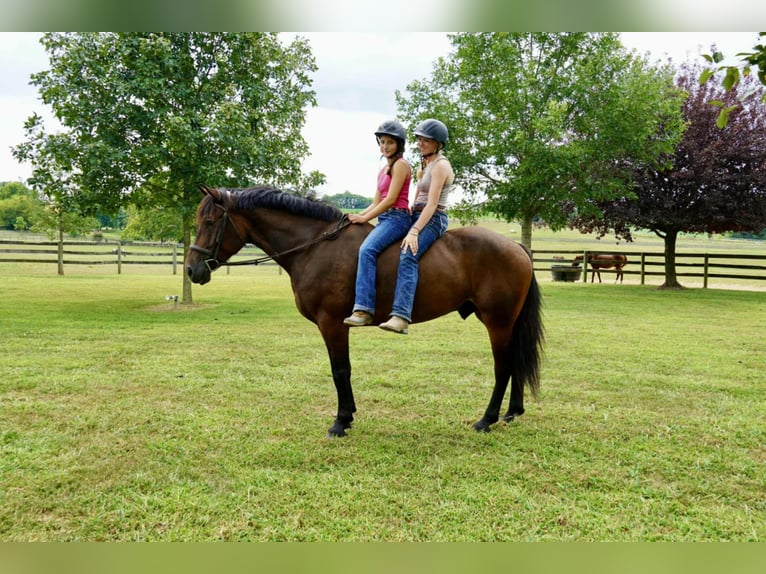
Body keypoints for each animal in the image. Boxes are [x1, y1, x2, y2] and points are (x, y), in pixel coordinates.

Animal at [186, 185, 544, 438]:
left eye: (209, 221)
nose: (191, 269)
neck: (315, 246)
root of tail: (517, 247)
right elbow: (342, 371)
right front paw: (348, 417)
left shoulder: (332, 323)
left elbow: (340, 371)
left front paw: (341, 422)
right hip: (505, 323)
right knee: (515, 363)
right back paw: (512, 412)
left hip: (497, 322)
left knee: (503, 367)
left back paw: (487, 419)